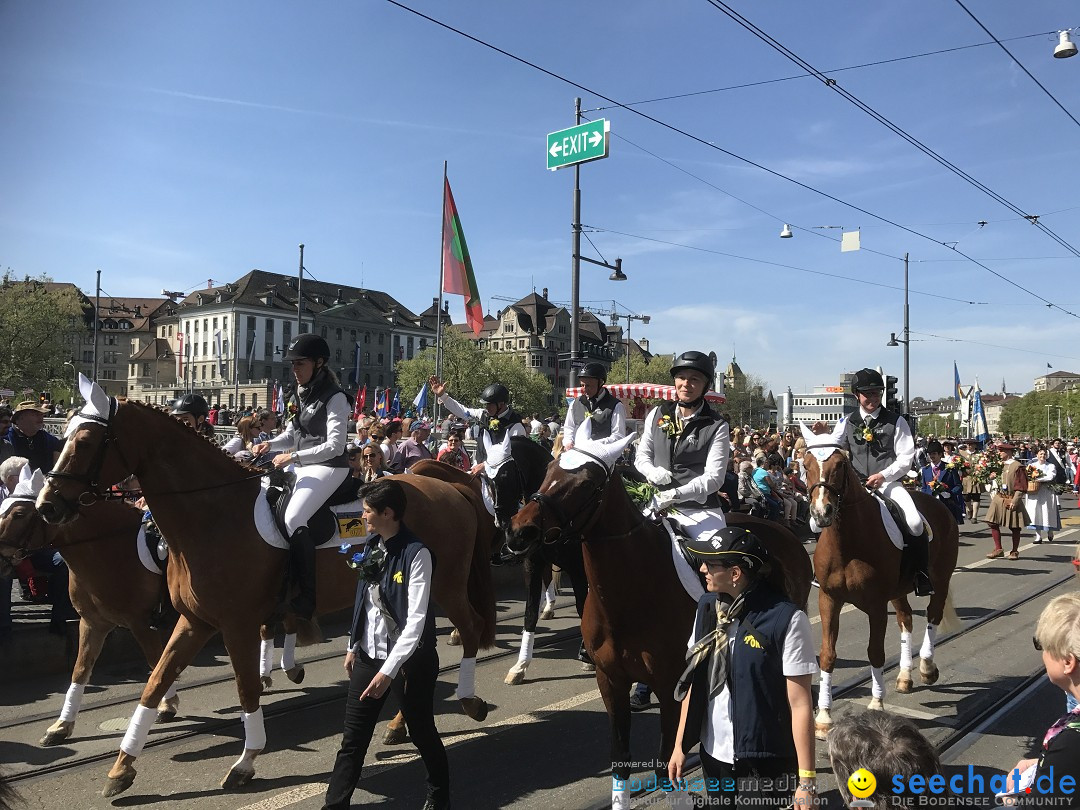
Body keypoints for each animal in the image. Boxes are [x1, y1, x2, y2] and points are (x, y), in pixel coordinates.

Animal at [0, 468, 179, 747]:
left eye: (18, 514)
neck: (109, 547)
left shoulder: (141, 623)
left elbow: (156, 662)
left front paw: (167, 705)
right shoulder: (93, 623)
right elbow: (80, 670)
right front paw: (62, 726)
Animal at [36, 380, 494, 799]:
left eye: (85, 440)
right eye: (65, 434)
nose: (46, 505)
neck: (212, 514)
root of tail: (449, 487)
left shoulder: (236, 624)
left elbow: (245, 688)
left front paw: (246, 760)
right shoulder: (195, 621)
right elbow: (155, 683)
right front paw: (121, 766)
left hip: (446, 587)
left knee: (469, 630)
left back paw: (470, 700)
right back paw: (401, 725)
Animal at [505, 447, 812, 807]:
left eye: (587, 482)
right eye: (549, 469)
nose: (519, 530)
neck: (630, 595)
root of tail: (784, 532)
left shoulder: (670, 686)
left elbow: (667, 767)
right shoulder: (610, 680)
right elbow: (621, 761)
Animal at [803, 425, 963, 743]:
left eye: (840, 465)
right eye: (805, 465)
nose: (821, 513)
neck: (848, 543)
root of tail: (939, 504)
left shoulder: (876, 604)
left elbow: (875, 652)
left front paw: (876, 703)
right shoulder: (828, 600)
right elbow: (827, 655)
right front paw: (824, 717)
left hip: (939, 580)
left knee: (933, 615)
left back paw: (926, 666)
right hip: (899, 591)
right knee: (906, 620)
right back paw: (904, 675)